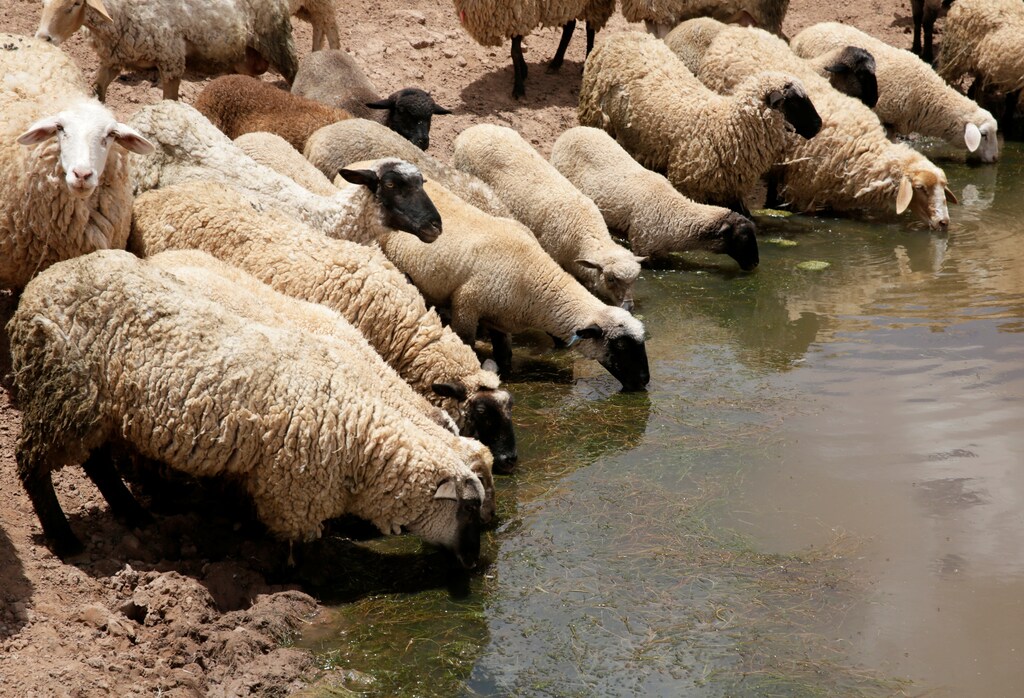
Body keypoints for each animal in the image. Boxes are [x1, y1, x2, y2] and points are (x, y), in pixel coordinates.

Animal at [35, 0, 298, 101]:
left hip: (277, 39)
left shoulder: (171, 59)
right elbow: (98, 89)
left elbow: (169, 101)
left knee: (294, 74)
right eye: (45, 3)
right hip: (242, 57)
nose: (43, 38)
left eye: (76, 3)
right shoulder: (114, 58)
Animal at [375, 177, 651, 392]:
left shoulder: (500, 319)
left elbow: (505, 357)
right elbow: (467, 344)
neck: (535, 281)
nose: (644, 381)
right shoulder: (466, 306)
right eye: (620, 345)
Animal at [452, 0, 615, 98]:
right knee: (571, 26)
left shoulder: (520, 12)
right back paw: (556, 63)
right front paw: (523, 71)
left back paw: (586, 63)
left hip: (594, 3)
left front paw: (518, 88)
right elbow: (516, 49)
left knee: (590, 27)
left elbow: (514, 51)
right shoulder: (515, 16)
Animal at [577, 31, 822, 214]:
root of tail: (621, 34)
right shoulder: (691, 186)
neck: (725, 126)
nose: (819, 125)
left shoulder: (730, 193)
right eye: (795, 102)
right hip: (596, 118)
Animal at [666, 20, 955, 228]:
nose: (943, 223)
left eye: (943, 188)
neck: (863, 148)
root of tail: (739, 30)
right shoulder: (804, 187)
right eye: (920, 189)